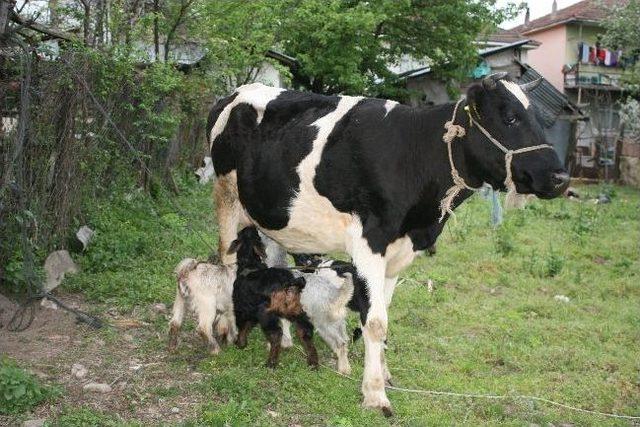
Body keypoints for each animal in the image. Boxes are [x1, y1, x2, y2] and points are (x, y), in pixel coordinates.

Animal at [206, 72, 568, 416]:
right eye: (509, 117)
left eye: (539, 118)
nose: (561, 178)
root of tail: (237, 92)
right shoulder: (370, 242)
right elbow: (375, 322)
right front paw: (375, 394)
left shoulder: (398, 254)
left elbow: (385, 313)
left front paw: (384, 374)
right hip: (226, 198)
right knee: (226, 262)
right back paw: (227, 329)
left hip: (273, 218)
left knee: (277, 267)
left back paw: (283, 337)